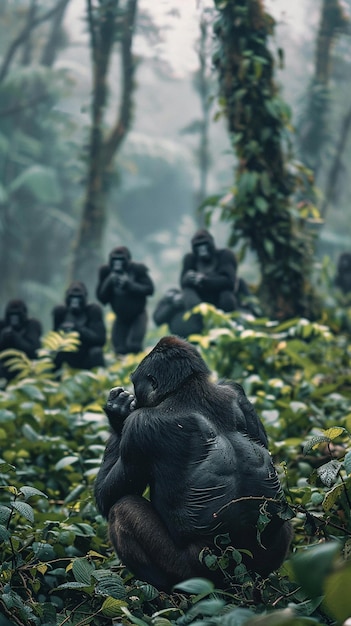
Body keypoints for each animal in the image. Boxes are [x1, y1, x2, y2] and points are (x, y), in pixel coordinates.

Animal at [94, 334, 294, 588]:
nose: (134, 398)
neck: (189, 386)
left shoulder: (139, 428)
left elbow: (106, 498)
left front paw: (116, 413)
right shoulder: (236, 390)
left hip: (192, 572)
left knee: (123, 508)